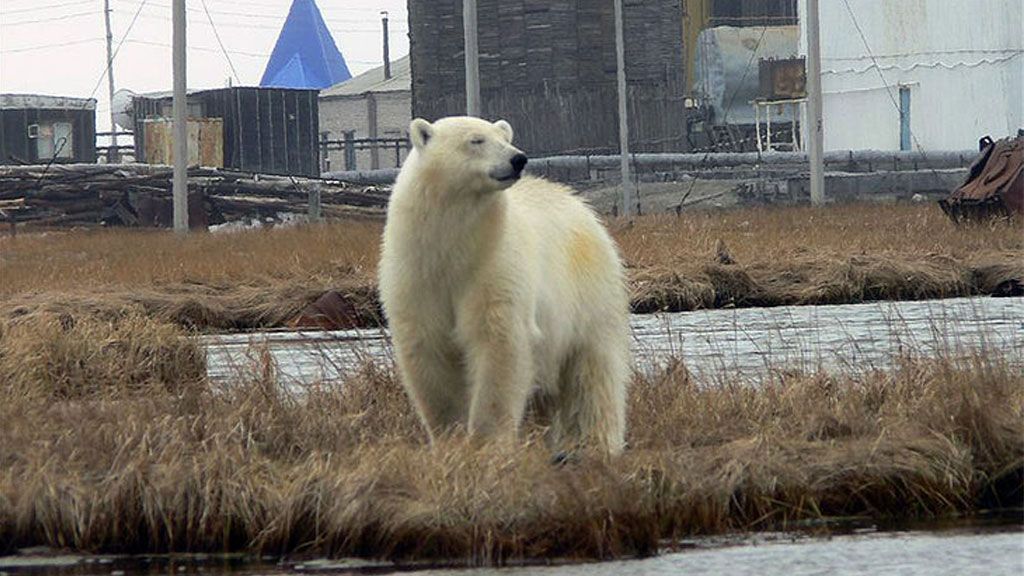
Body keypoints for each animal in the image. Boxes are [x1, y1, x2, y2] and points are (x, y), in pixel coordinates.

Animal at [378, 116, 626, 455]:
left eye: (504, 137)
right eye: (476, 140)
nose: (518, 159)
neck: (452, 246)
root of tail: (580, 205)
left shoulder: (494, 264)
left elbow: (498, 342)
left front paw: (487, 442)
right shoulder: (417, 274)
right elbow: (429, 350)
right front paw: (450, 439)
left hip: (588, 294)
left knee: (591, 373)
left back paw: (595, 443)